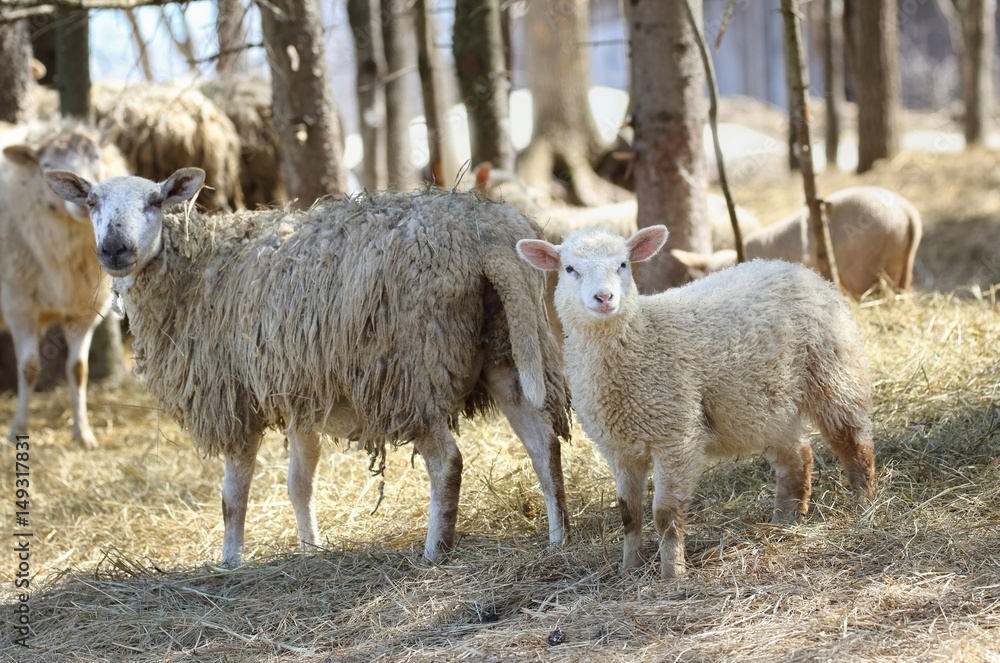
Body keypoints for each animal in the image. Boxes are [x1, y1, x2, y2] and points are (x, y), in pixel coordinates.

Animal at [1, 121, 127, 448]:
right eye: (46, 166)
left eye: (96, 156)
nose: (85, 200)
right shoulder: (19, 305)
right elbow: (29, 368)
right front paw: (18, 429)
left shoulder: (83, 310)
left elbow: (79, 370)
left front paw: (83, 433)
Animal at [45, 167, 572, 567]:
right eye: (91, 201)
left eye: (155, 202)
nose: (115, 250)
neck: (193, 270)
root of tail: (488, 243)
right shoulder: (301, 394)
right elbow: (300, 485)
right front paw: (309, 549)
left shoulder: (234, 398)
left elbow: (232, 497)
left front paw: (230, 562)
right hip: (508, 352)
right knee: (543, 444)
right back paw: (558, 537)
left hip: (409, 372)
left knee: (448, 462)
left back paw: (434, 552)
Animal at [516, 225, 875, 578]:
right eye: (569, 269)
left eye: (623, 264)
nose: (604, 298)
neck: (642, 338)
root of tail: (796, 269)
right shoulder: (618, 448)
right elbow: (629, 514)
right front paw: (629, 568)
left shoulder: (675, 436)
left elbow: (664, 514)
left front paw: (671, 574)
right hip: (765, 405)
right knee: (798, 455)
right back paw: (786, 520)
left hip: (834, 373)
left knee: (853, 442)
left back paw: (862, 506)